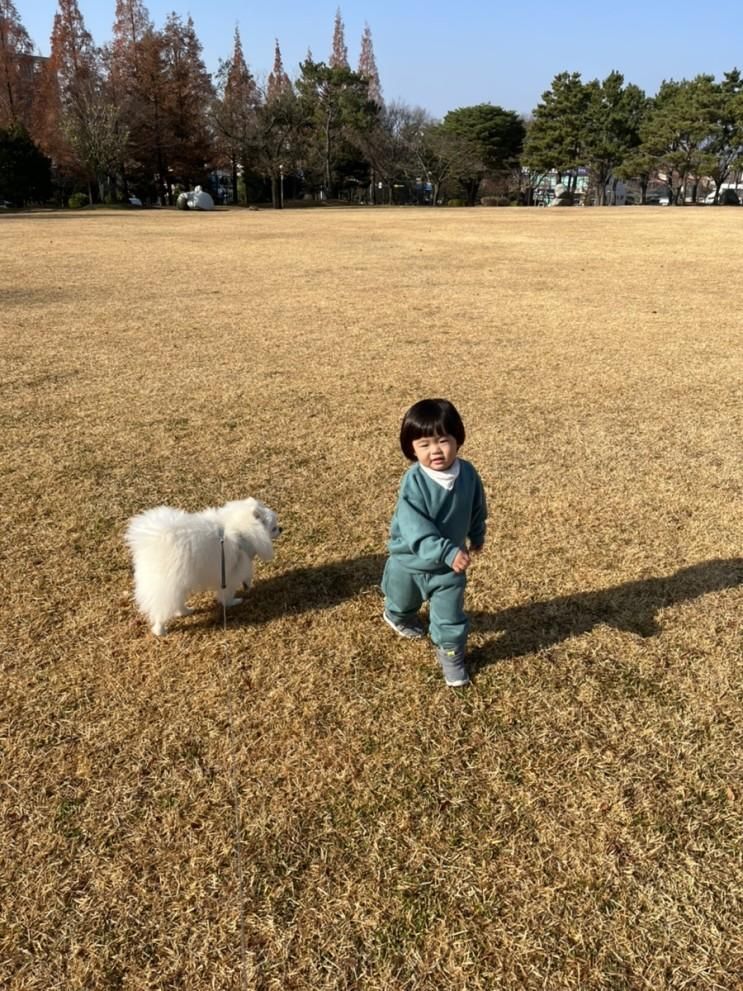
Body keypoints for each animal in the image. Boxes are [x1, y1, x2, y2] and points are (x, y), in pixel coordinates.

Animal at [125, 496, 282, 636]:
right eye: (273, 528)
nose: (281, 528)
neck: (241, 530)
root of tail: (153, 541)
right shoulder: (230, 573)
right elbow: (228, 593)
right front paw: (232, 602)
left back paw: (186, 611)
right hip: (168, 584)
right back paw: (160, 630)